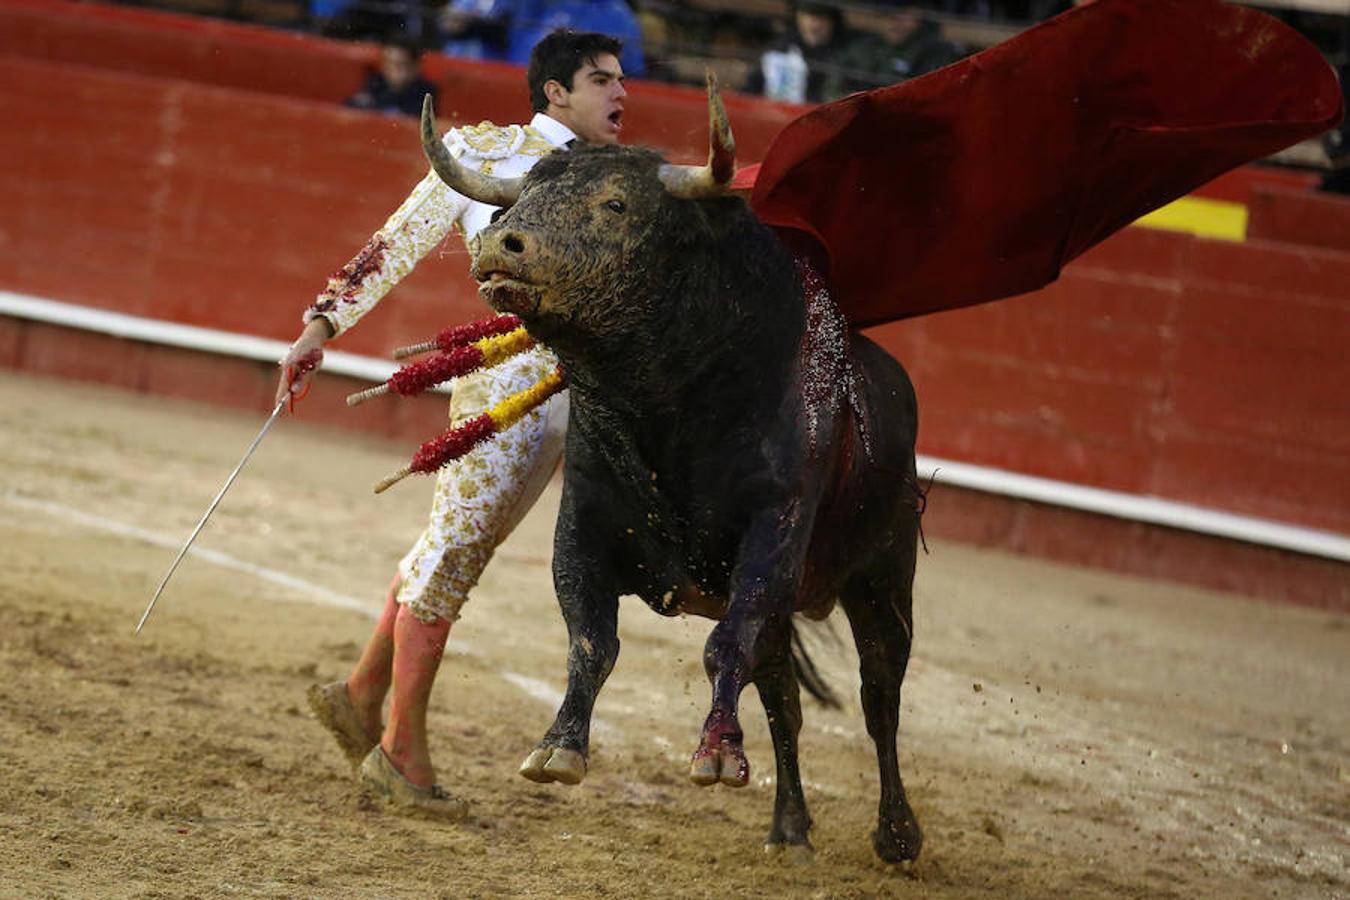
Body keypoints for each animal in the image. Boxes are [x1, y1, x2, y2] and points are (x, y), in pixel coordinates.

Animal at [421, 86, 928, 863]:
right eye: (520, 199)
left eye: (617, 205)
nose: (501, 244)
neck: (667, 407)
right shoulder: (582, 531)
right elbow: (592, 642)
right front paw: (559, 749)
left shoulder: (773, 538)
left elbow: (724, 647)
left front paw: (714, 757)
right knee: (783, 699)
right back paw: (789, 826)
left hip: (882, 577)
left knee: (879, 697)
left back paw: (896, 833)